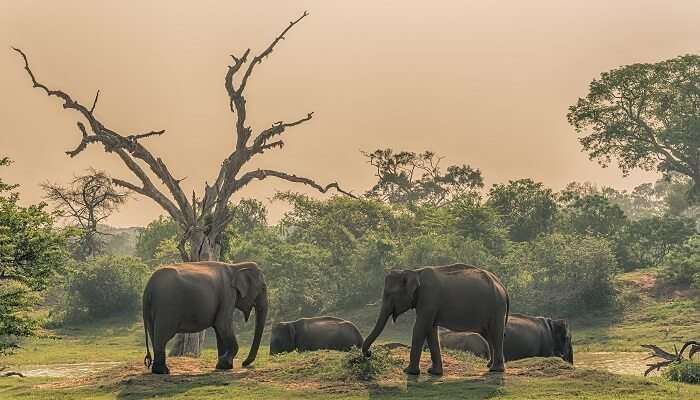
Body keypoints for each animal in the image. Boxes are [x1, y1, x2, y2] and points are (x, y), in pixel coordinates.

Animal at [360, 262, 508, 376]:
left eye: (390, 294)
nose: (369, 353)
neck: (415, 272)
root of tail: (502, 285)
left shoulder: (428, 299)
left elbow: (420, 328)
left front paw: (408, 372)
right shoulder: (429, 304)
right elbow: (430, 330)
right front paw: (434, 372)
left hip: (496, 307)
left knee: (496, 333)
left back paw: (496, 370)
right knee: (489, 334)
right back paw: (489, 366)